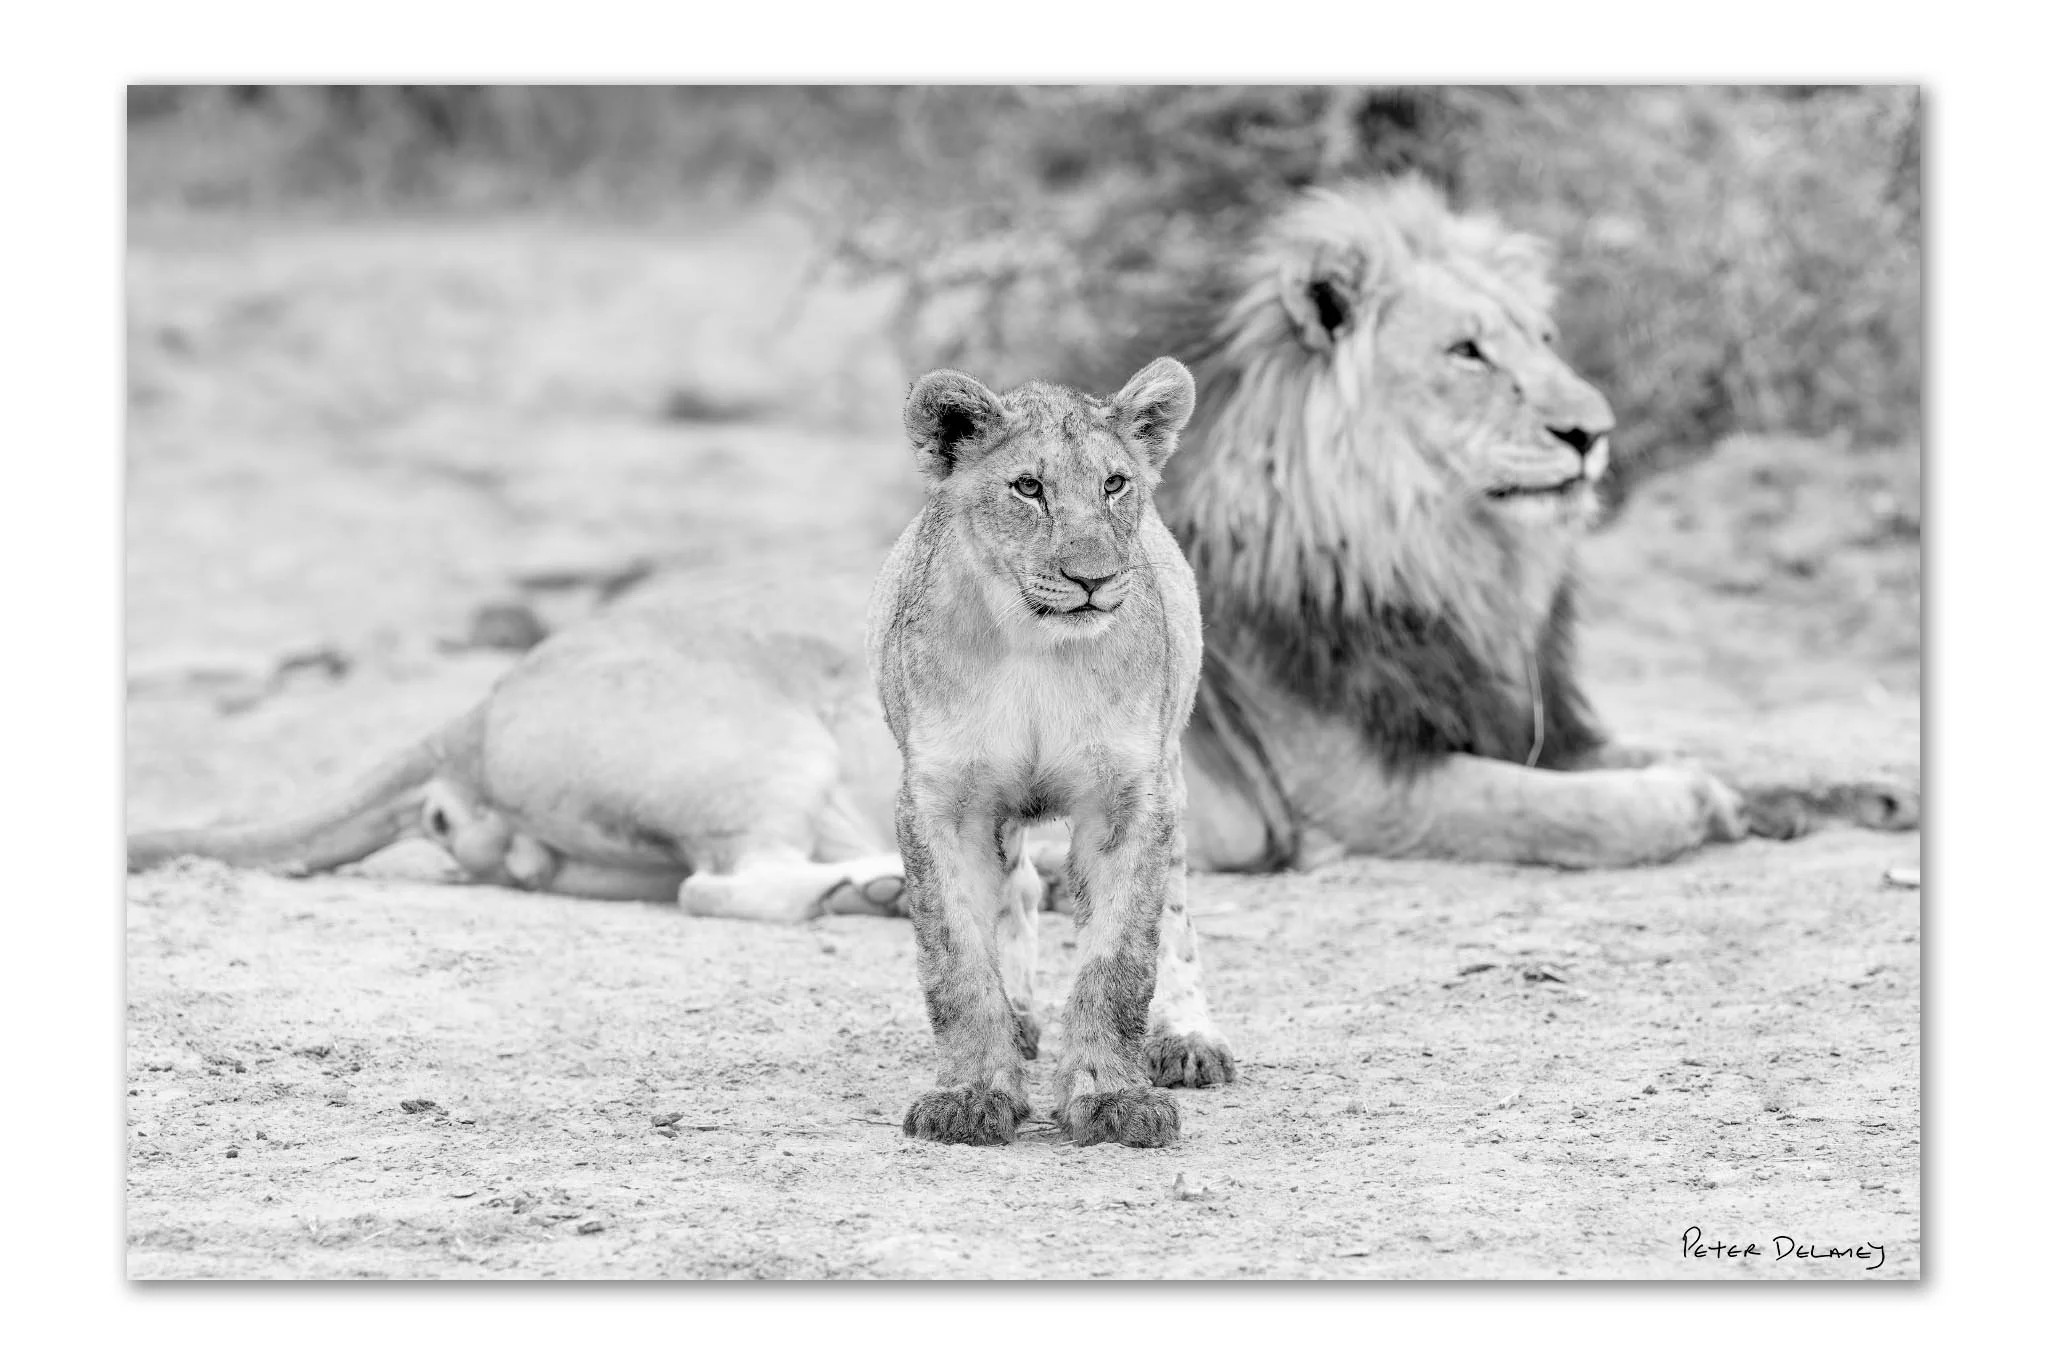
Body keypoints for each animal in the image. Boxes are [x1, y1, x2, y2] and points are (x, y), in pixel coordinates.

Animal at [874, 358, 1203, 1147]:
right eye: (1028, 487)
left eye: (1114, 483)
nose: (1093, 578)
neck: (1033, 647)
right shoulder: (939, 799)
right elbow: (957, 958)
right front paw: (971, 1095)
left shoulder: (1130, 797)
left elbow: (1120, 958)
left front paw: (1113, 1097)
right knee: (1016, 892)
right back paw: (1021, 1018)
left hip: (1173, 768)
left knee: (1177, 908)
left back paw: (1189, 1037)